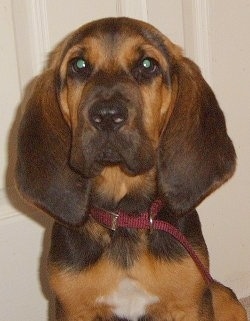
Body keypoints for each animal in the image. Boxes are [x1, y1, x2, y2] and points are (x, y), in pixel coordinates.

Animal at [15, 18, 246, 320]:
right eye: (79, 65)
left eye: (147, 65)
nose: (107, 115)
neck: (124, 216)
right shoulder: (74, 309)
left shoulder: (190, 303)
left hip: (225, 297)